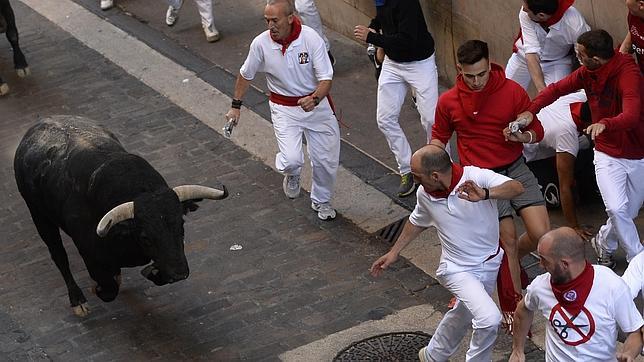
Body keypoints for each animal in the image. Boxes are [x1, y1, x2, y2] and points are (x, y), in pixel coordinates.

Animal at [12, 116, 229, 316]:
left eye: (181, 226)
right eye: (145, 237)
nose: (179, 274)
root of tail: (39, 125)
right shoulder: (90, 255)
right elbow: (108, 290)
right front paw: (97, 288)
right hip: (39, 215)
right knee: (58, 255)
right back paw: (77, 300)